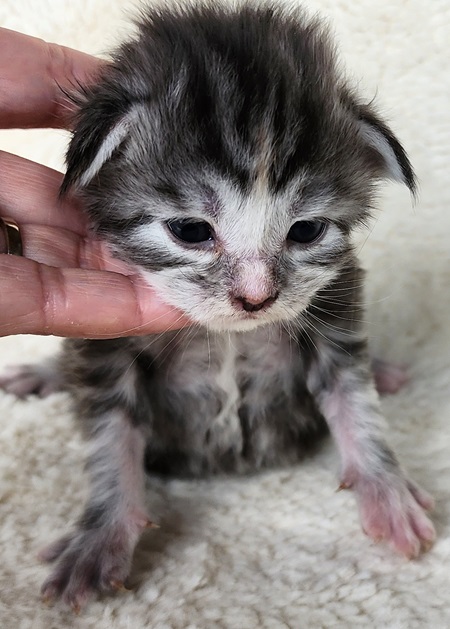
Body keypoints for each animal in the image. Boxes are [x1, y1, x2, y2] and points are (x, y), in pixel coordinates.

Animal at [0, 0, 436, 608]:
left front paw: (386, 489)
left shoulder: (336, 308)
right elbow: (110, 438)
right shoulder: (106, 347)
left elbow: (356, 400)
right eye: (190, 230)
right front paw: (101, 536)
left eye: (306, 230)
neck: (227, 333)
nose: (256, 298)